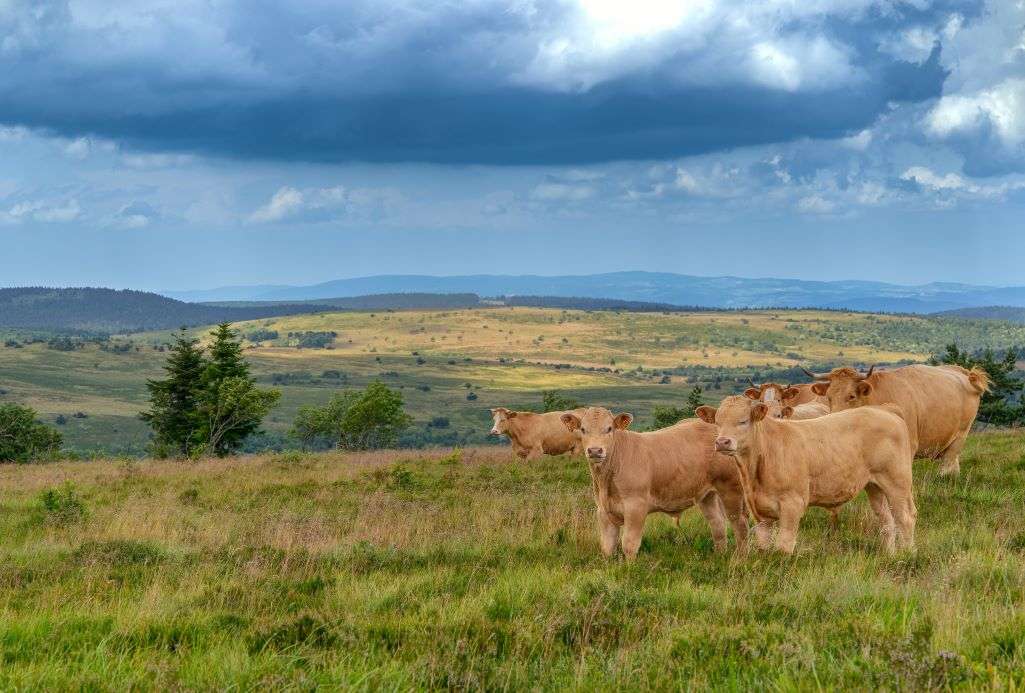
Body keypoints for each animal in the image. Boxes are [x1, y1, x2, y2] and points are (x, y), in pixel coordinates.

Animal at [557, 408, 750, 561]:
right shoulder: (603, 510)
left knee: (739, 524)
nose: (595, 450)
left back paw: (740, 559)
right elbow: (607, 546)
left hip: (732, 488)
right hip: (707, 494)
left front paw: (629, 569)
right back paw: (720, 556)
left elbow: (629, 543)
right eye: (583, 429)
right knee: (717, 523)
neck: (607, 480)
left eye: (609, 428)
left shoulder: (636, 506)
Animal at [697, 397, 914, 553]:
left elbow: (784, 547)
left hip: (897, 481)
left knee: (905, 518)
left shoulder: (793, 504)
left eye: (743, 421)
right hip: (874, 485)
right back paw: (889, 555)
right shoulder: (760, 512)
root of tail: (884, 410)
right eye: (717, 423)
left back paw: (907, 556)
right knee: (887, 521)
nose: (722, 442)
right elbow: (763, 547)